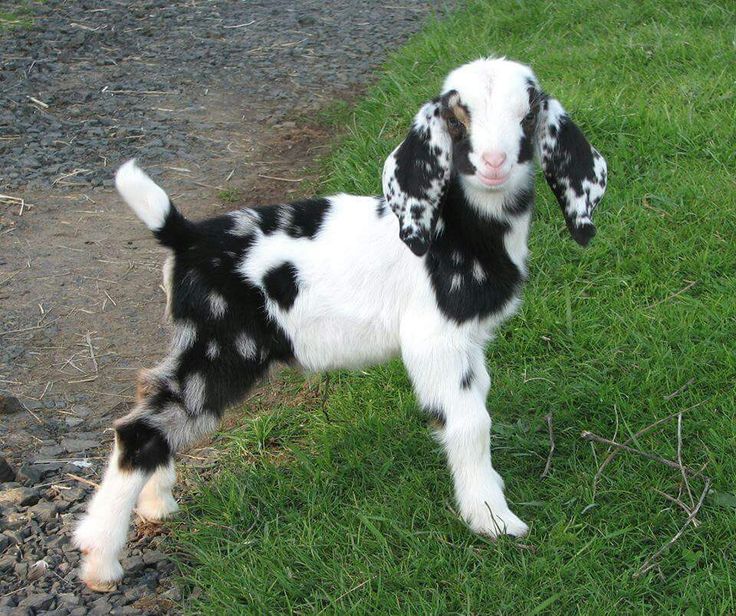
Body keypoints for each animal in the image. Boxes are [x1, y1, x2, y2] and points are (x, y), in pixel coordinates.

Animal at [72, 59, 608, 592]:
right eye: (457, 121)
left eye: (529, 114)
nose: (495, 162)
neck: (454, 228)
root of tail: (186, 237)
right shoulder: (435, 337)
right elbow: (471, 422)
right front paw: (492, 519)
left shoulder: (469, 342)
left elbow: (479, 400)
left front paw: (490, 493)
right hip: (225, 347)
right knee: (138, 429)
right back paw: (100, 560)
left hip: (203, 343)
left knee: (153, 395)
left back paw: (155, 501)